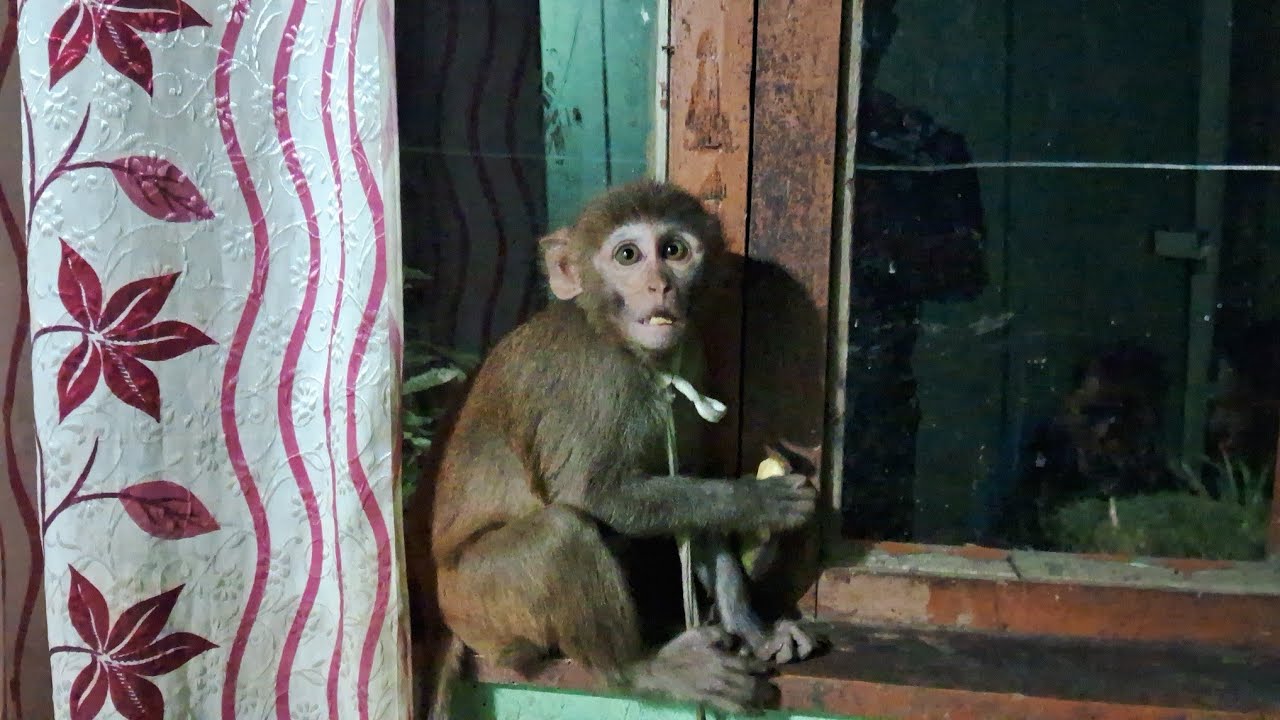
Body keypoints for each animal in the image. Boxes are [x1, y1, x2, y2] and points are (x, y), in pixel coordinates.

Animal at [411, 180, 819, 717]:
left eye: (673, 250)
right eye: (628, 255)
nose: (659, 286)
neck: (622, 343)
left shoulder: (691, 357)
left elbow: (691, 491)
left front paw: (752, 626)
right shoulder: (598, 378)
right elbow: (590, 495)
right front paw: (756, 501)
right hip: (479, 601)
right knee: (560, 532)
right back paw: (640, 668)